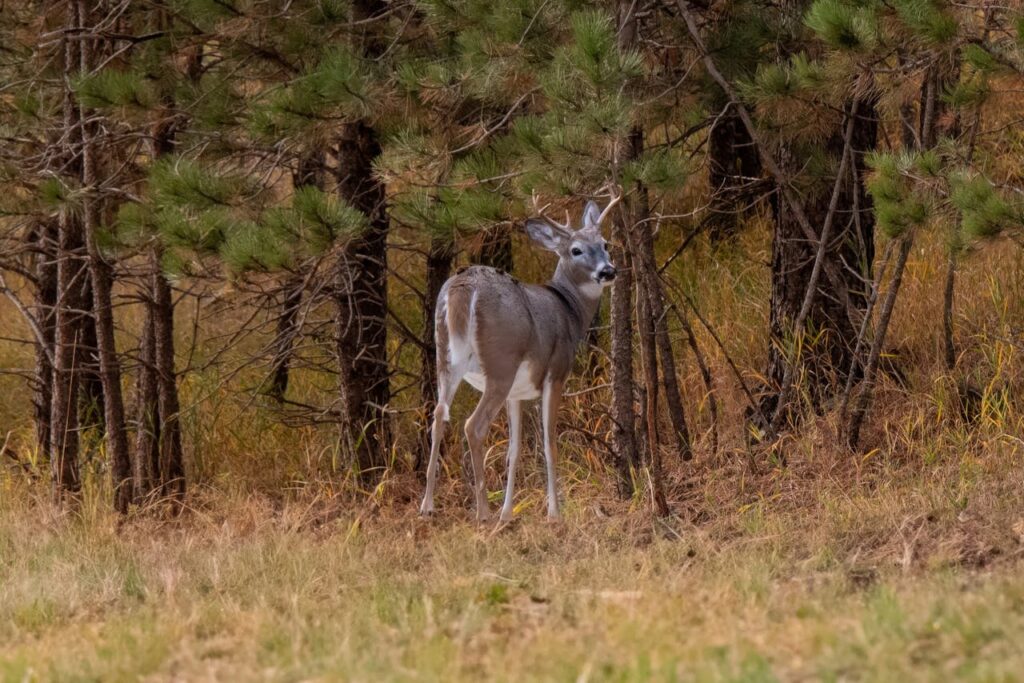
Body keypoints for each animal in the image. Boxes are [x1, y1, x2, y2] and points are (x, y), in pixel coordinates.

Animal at [419, 191, 621, 523]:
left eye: (605, 244)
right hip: (501, 361)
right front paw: (553, 513)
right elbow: (549, 444)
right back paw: (482, 512)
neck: (571, 311)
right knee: (472, 426)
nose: (608, 271)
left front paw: (508, 512)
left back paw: (427, 506)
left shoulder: (517, 393)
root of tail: (463, 288)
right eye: (576, 250)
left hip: (445, 356)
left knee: (438, 415)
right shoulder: (556, 372)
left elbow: (513, 451)